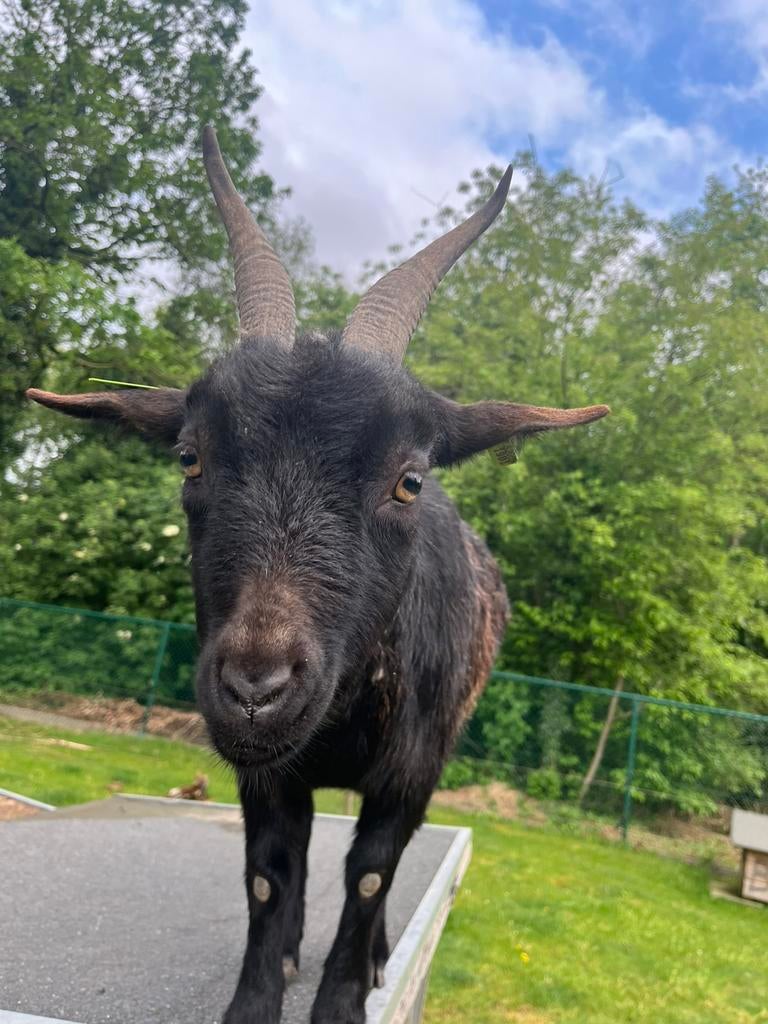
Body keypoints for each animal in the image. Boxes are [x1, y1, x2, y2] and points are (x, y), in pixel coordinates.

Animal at [27, 126, 608, 1024]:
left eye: (409, 479)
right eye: (189, 456)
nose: (256, 688)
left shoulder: (410, 773)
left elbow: (370, 874)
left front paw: (345, 996)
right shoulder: (266, 774)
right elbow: (269, 876)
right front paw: (259, 995)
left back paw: (373, 956)